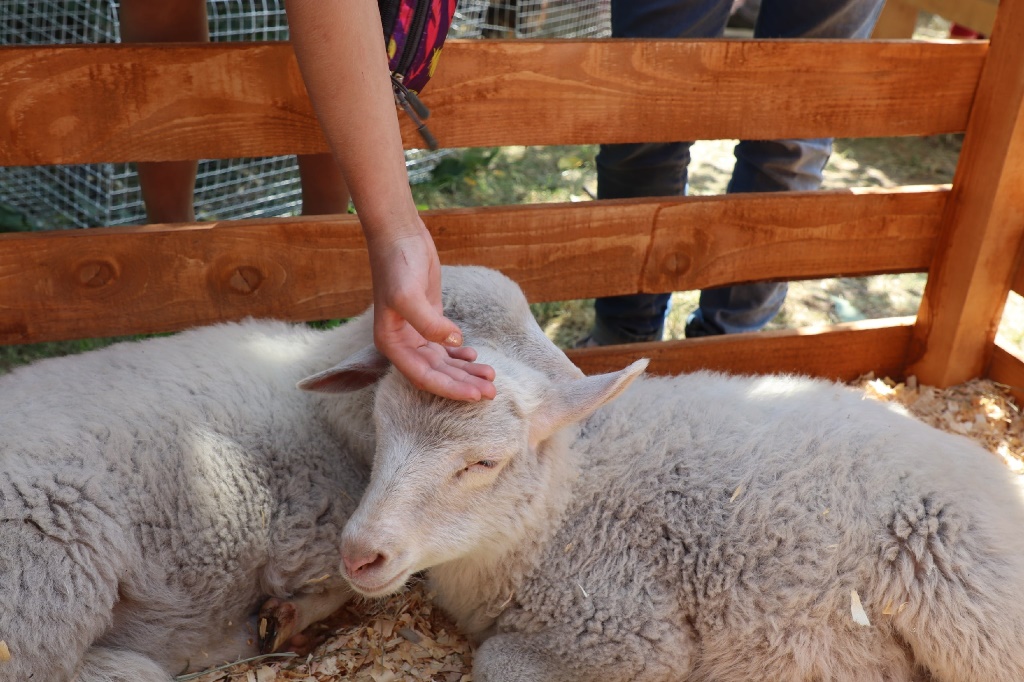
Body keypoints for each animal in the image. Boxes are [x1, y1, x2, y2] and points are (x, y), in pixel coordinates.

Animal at [319, 272, 1024, 679]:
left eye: (484, 462)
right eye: (381, 427)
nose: (358, 554)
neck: (562, 509)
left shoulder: (628, 631)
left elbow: (496, 663)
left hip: (975, 609)